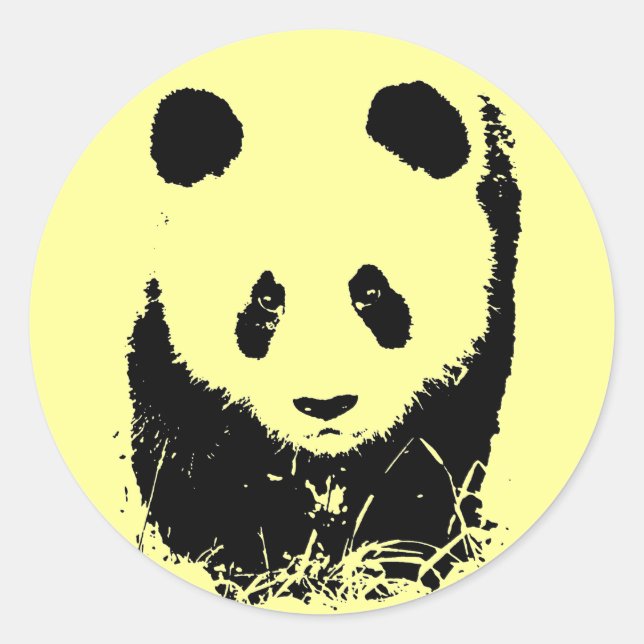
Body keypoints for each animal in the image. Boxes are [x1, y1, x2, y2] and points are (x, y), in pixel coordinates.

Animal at [127, 78, 521, 596]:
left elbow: (434, 443)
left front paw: (391, 560)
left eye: (371, 290)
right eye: (267, 299)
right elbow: (186, 438)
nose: (325, 405)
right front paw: (256, 560)